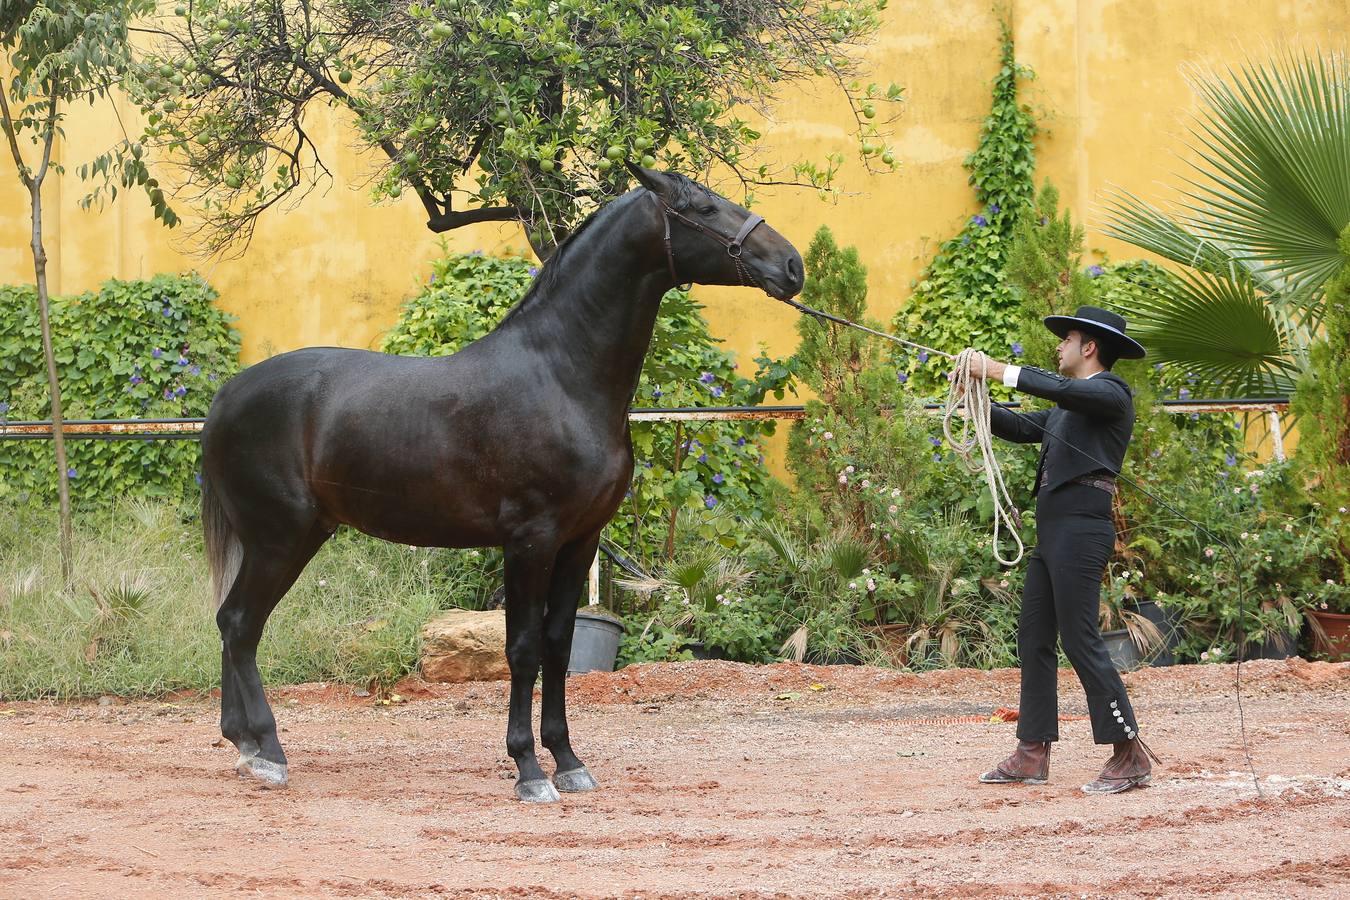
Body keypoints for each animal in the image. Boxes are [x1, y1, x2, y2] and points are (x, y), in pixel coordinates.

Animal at [195, 167, 793, 804]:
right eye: (705, 208)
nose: (792, 265)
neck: (560, 377)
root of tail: (227, 395)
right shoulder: (530, 540)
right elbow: (523, 649)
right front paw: (528, 768)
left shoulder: (579, 541)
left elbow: (558, 645)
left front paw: (568, 761)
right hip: (281, 537)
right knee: (240, 624)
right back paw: (267, 752)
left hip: (283, 538)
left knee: (234, 625)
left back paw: (243, 744)